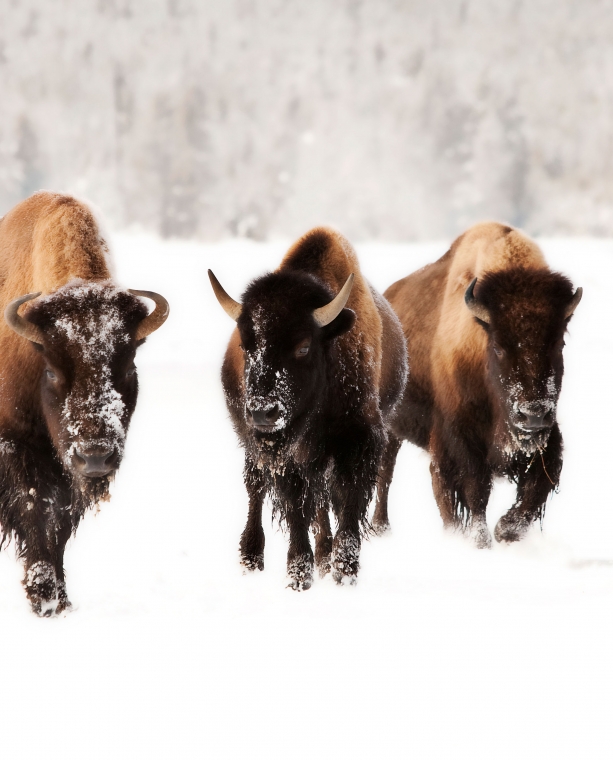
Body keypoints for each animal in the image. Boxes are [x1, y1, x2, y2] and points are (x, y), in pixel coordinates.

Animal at [0, 193, 169, 616]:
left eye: (128, 366)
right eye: (52, 369)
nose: (95, 456)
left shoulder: (67, 469)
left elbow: (58, 521)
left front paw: (59, 598)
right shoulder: (16, 444)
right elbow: (35, 508)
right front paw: (43, 597)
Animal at [210, 226, 406, 588]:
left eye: (303, 347)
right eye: (246, 345)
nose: (263, 412)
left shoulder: (357, 443)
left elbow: (346, 504)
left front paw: (344, 571)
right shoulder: (290, 457)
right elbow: (296, 508)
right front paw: (299, 576)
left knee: (324, 500)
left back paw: (326, 558)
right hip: (253, 444)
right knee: (257, 487)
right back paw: (251, 558)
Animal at [376, 220, 580, 548]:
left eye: (559, 342)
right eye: (497, 346)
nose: (533, 415)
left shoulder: (547, 439)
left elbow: (537, 486)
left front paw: (505, 530)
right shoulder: (459, 438)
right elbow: (474, 488)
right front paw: (479, 540)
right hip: (388, 423)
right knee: (386, 473)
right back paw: (382, 529)